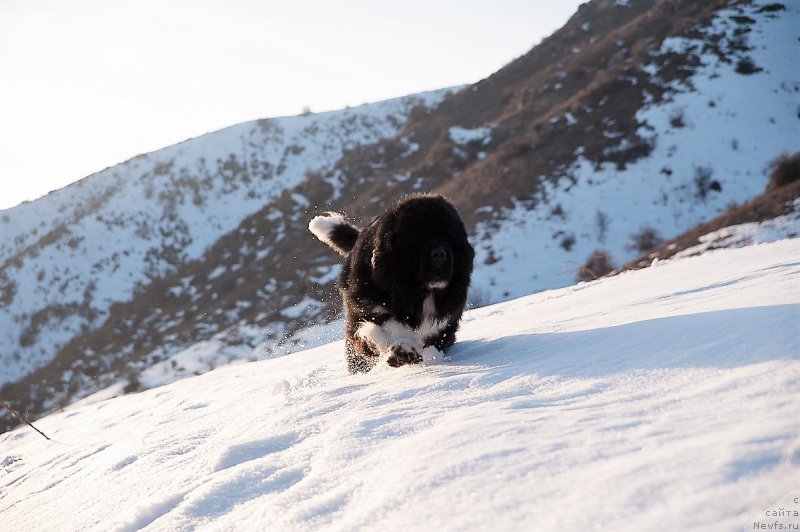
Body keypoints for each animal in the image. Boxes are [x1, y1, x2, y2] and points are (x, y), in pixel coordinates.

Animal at [310, 193, 476, 372]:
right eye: (418, 239)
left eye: (448, 238)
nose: (439, 253)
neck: (418, 294)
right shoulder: (368, 307)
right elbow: (387, 327)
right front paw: (402, 349)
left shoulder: (445, 320)